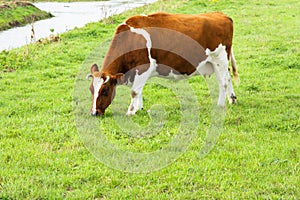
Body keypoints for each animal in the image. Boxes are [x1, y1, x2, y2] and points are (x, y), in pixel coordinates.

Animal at [86, 12, 239, 115]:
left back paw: (220, 104)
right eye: (91, 89)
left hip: (219, 59)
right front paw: (139, 108)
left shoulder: (144, 68)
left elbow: (135, 91)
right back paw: (232, 99)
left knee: (223, 82)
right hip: (217, 63)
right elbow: (139, 90)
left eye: (105, 90)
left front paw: (130, 112)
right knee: (228, 77)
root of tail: (221, 15)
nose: (94, 113)